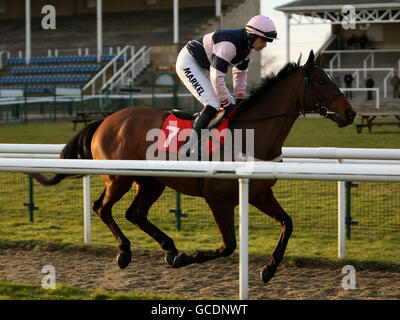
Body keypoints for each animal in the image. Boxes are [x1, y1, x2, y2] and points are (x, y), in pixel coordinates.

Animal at [32, 51, 356, 284]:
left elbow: (287, 223)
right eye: (323, 81)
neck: (251, 136)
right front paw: (191, 257)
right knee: (103, 208)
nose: (351, 113)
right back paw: (126, 252)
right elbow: (228, 246)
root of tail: (106, 119)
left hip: (151, 182)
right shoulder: (219, 200)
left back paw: (170, 248)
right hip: (119, 178)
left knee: (134, 213)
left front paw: (270, 268)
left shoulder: (259, 193)